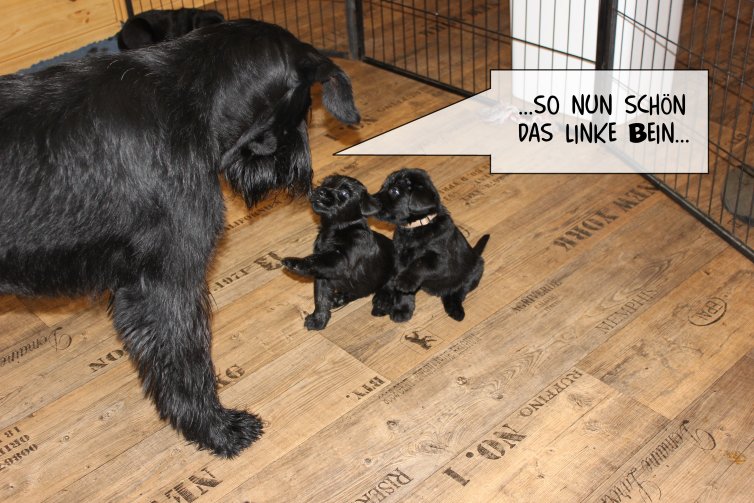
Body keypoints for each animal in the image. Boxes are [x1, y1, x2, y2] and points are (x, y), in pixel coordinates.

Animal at [0, 19, 358, 458]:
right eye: (305, 105)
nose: (304, 173)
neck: (194, 100)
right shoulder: (169, 282)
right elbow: (187, 359)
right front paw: (217, 430)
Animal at [282, 176, 394, 330]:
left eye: (344, 193)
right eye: (326, 183)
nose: (320, 191)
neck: (337, 230)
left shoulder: (342, 260)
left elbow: (316, 259)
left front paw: (295, 263)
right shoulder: (322, 276)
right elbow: (321, 297)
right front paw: (318, 320)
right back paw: (340, 298)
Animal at [368, 169, 488, 322]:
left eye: (394, 191)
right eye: (383, 187)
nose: (369, 200)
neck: (417, 227)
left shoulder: (442, 260)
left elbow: (420, 262)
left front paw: (404, 283)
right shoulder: (400, 258)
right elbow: (400, 285)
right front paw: (402, 308)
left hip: (475, 271)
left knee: (458, 292)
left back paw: (455, 309)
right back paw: (382, 300)